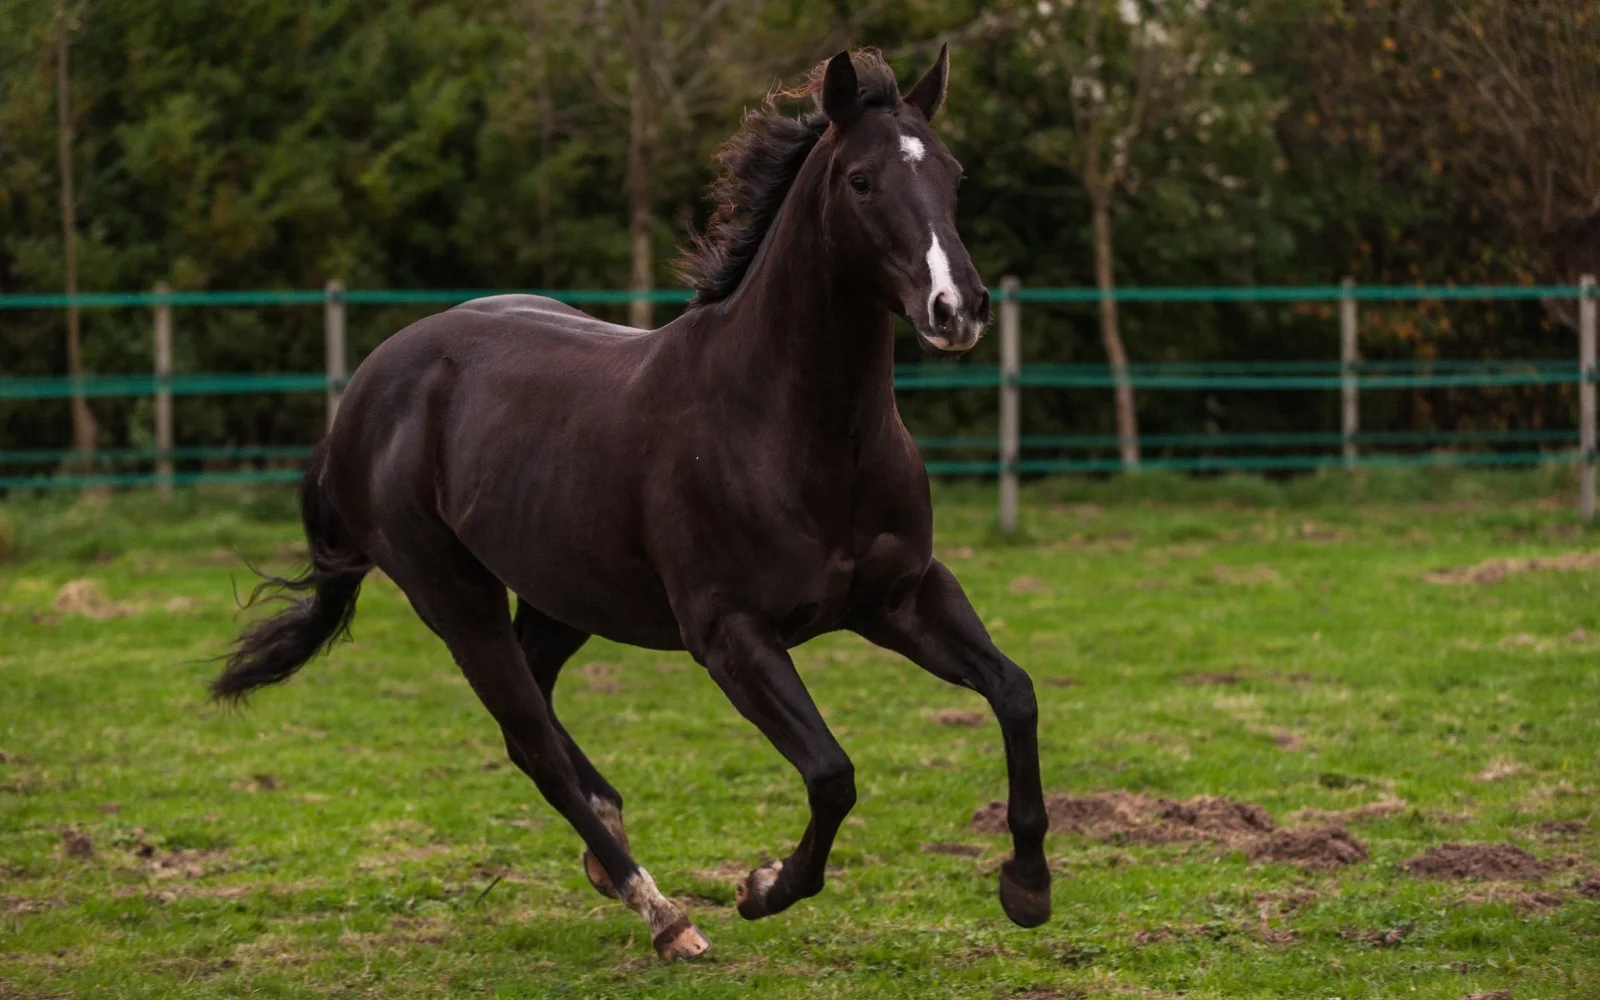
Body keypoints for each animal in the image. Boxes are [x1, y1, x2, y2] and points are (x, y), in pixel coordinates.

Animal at [214, 46, 1050, 961]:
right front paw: (762, 888)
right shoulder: (730, 635)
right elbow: (832, 774)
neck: (791, 426)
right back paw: (662, 912)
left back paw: (607, 839)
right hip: (454, 598)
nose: (957, 308)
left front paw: (1027, 886)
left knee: (535, 708)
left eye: (952, 172)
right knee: (531, 741)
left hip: (562, 592)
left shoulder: (904, 597)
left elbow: (1014, 691)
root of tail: (363, 393)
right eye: (862, 181)